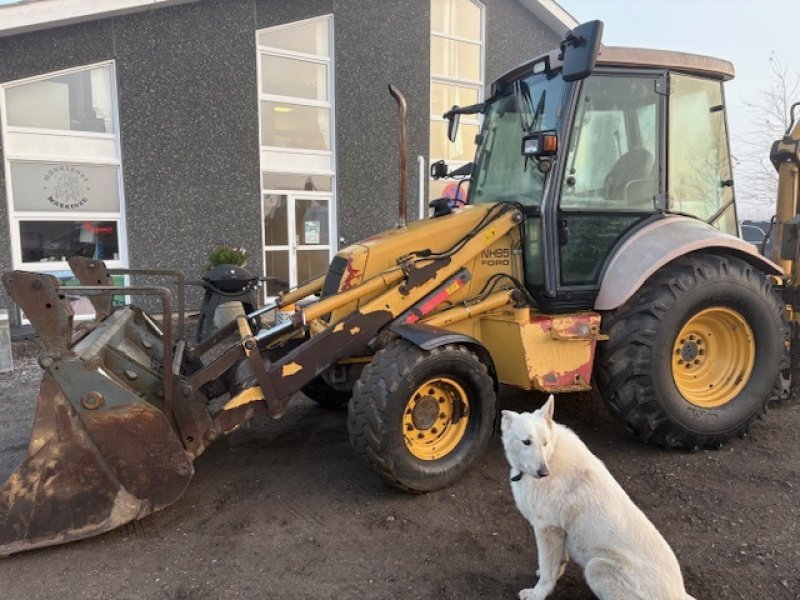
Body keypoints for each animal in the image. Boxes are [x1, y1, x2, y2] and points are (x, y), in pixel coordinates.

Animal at [500, 396, 692, 600]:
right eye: (526, 442)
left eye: (544, 443)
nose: (544, 473)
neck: (551, 456)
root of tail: (679, 593)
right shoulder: (560, 532)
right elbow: (557, 563)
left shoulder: (547, 528)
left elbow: (547, 570)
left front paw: (538, 593)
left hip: (596, 567)